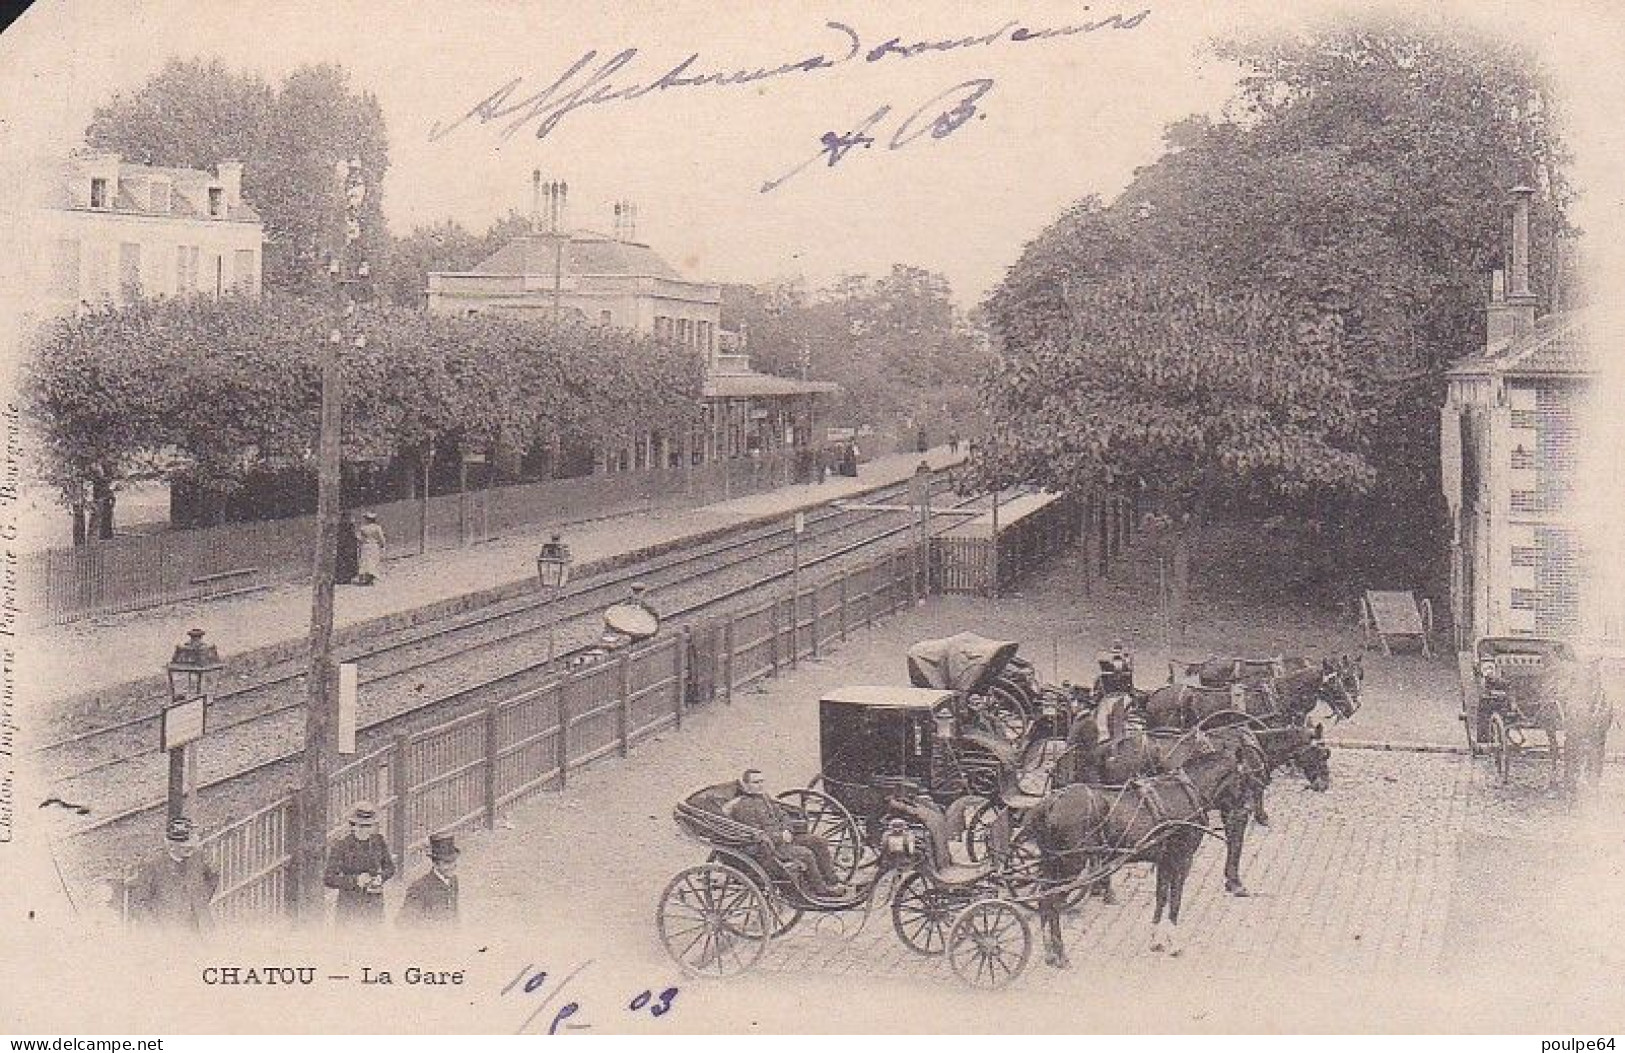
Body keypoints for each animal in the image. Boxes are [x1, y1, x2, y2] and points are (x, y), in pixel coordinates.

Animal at [1020, 737, 1261, 968]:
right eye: (1245, 777)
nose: (1249, 810)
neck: (1188, 792)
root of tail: (1049, 804)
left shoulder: (1165, 860)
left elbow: (1161, 897)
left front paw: (1156, 939)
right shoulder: (1182, 859)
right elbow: (1175, 900)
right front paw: (1174, 943)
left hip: (1052, 865)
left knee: (1043, 900)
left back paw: (1050, 953)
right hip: (1071, 865)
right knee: (1052, 902)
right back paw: (1060, 954)